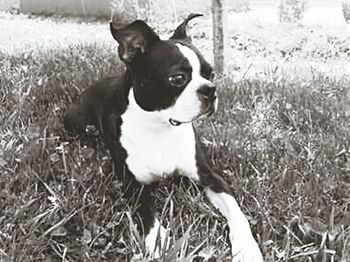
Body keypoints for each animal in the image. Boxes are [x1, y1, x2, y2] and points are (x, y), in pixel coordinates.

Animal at [64, 14, 264, 262]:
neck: (160, 128)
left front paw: (247, 248)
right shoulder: (132, 185)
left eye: (211, 74)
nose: (211, 89)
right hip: (74, 121)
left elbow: (237, 212)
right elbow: (147, 214)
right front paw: (161, 242)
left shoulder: (210, 176)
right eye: (177, 78)